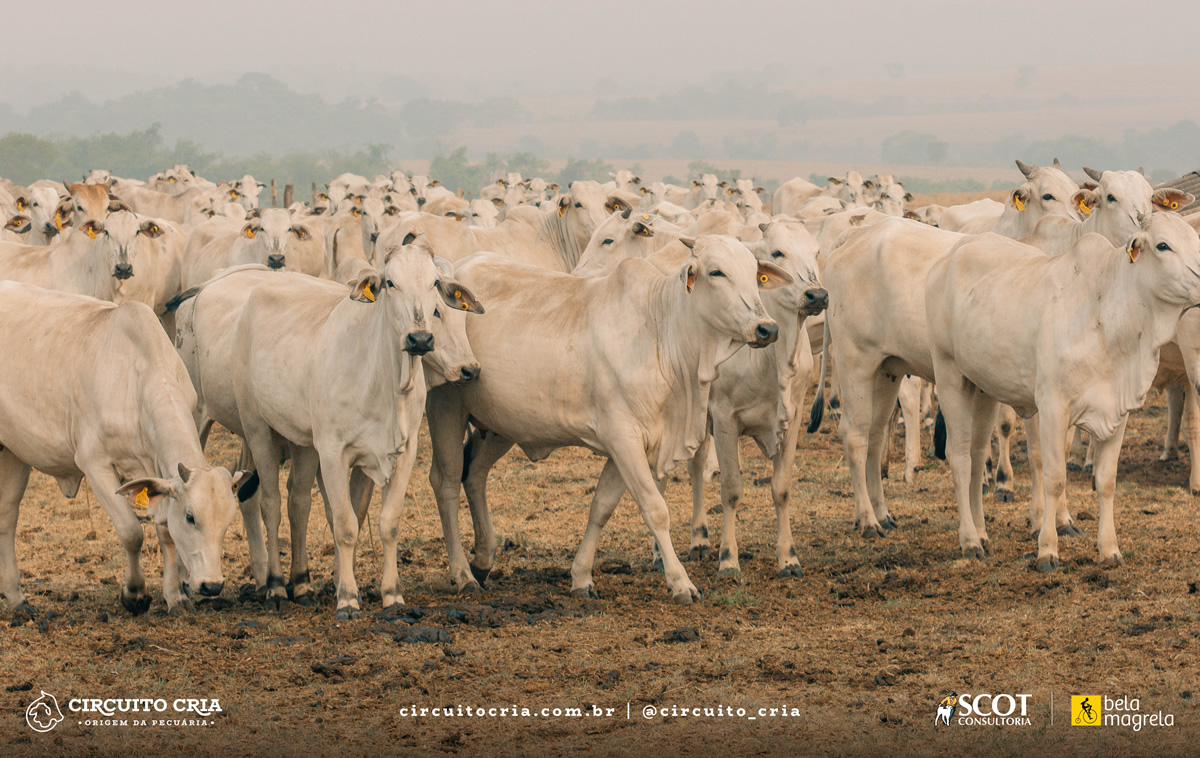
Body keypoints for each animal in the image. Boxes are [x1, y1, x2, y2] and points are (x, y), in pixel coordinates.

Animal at [0, 281, 253, 618]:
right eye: (190, 517)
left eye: (228, 521)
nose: (211, 585)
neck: (136, 379)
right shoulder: (95, 465)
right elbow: (131, 532)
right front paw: (135, 594)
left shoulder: (158, 475)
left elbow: (164, 532)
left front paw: (175, 596)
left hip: (14, 453)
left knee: (7, 516)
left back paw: (16, 597)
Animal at [427, 233, 792, 602]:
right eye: (717, 272)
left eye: (754, 273)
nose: (767, 328)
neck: (662, 336)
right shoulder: (623, 437)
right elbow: (655, 509)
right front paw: (680, 582)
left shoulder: (628, 447)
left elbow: (601, 507)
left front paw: (581, 577)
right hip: (446, 407)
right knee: (446, 482)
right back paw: (462, 573)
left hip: (500, 424)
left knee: (475, 475)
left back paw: (483, 559)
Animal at [926, 213, 1200, 568]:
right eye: (1163, 245)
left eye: (1195, 239)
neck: (1107, 314)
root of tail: (950, 255)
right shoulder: (1053, 407)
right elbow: (1054, 479)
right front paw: (1047, 549)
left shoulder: (1118, 410)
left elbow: (1106, 481)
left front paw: (1109, 549)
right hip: (950, 376)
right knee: (959, 458)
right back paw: (970, 541)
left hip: (981, 388)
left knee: (975, 457)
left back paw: (983, 534)